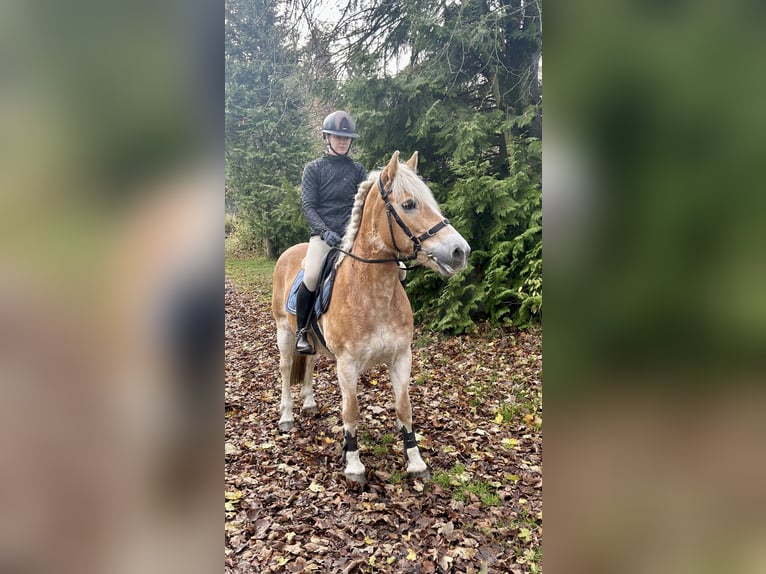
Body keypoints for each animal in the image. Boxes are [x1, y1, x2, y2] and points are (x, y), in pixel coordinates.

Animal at [272, 151, 472, 484]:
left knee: (309, 363)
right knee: (287, 369)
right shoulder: (347, 364)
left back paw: (310, 404)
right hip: (285, 333)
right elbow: (351, 412)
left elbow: (404, 408)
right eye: (409, 204)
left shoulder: (401, 357)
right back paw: (287, 416)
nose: (460, 251)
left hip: (311, 340)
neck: (370, 290)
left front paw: (416, 462)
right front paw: (353, 465)